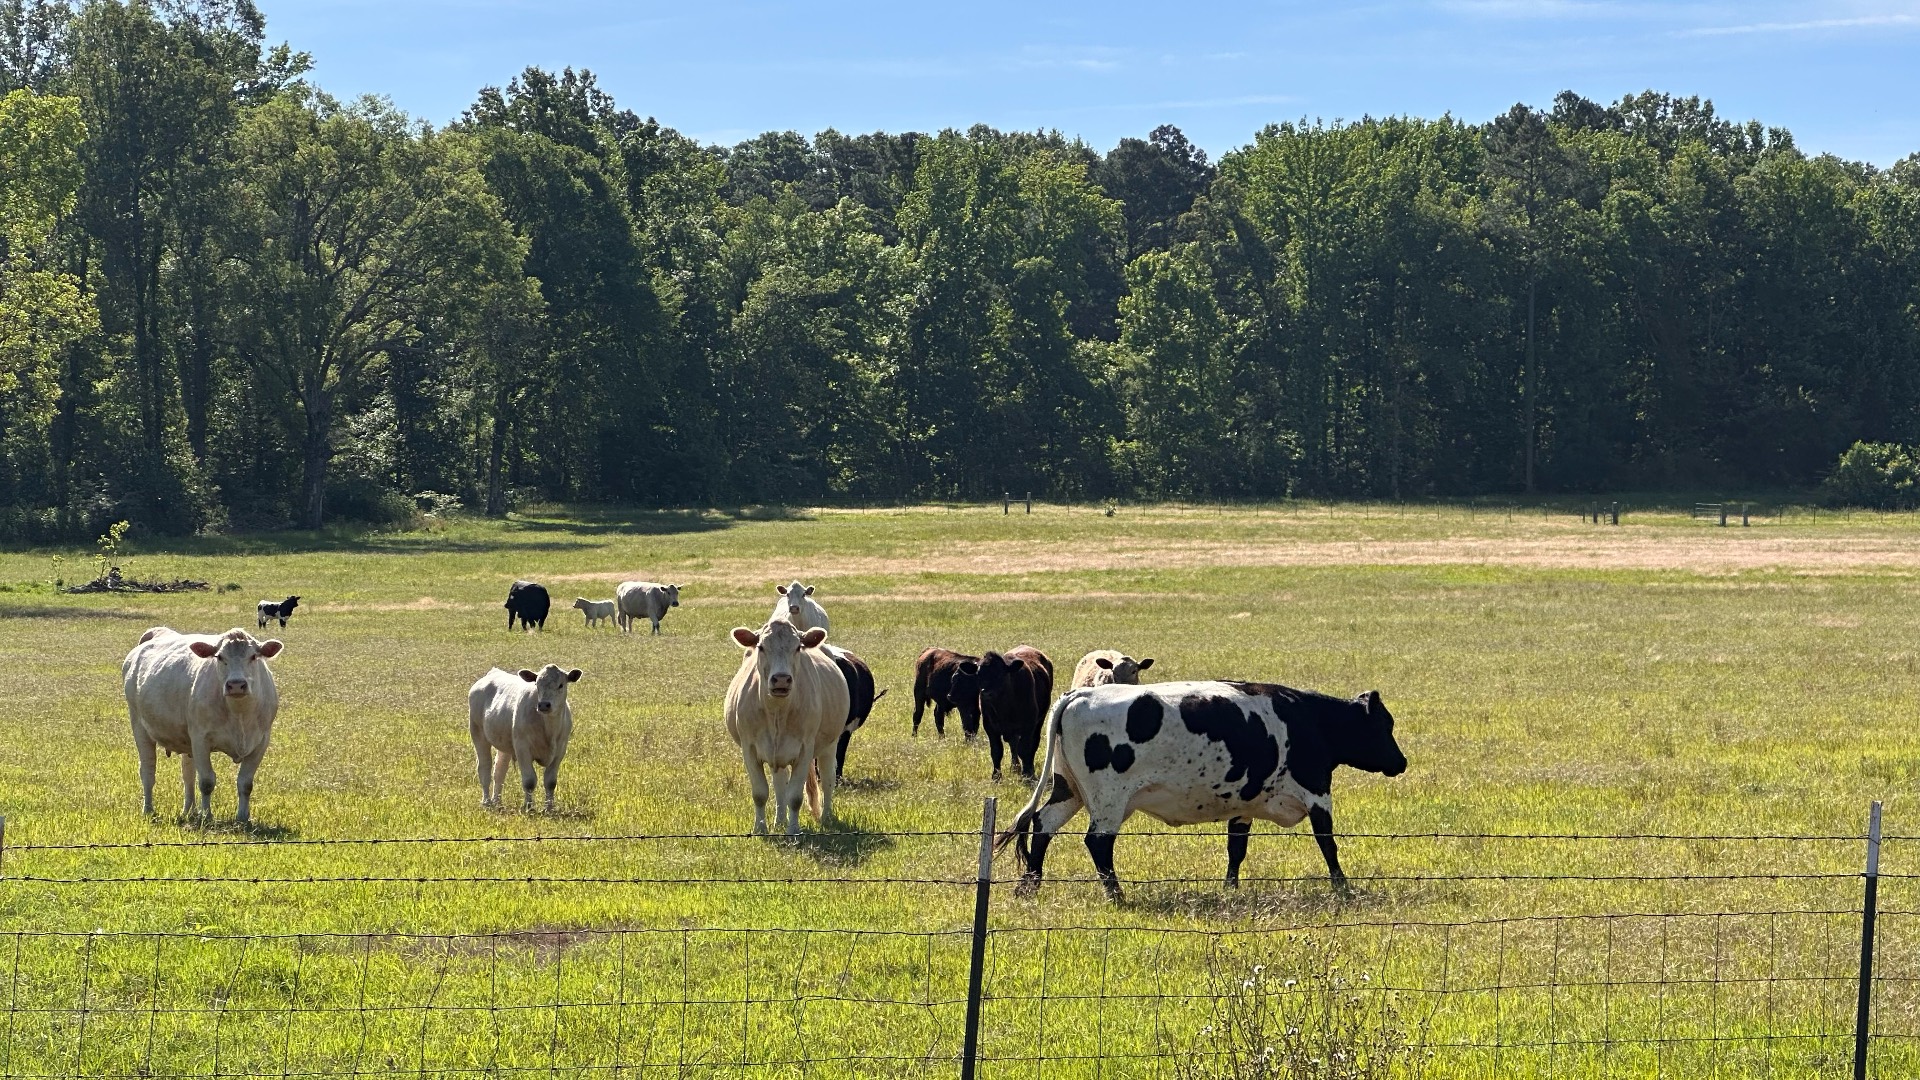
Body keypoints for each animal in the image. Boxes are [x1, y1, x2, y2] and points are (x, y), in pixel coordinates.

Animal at [122, 627, 284, 823]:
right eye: (220, 657)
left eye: (253, 656)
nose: (236, 685)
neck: (239, 713)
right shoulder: (201, 739)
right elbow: (207, 781)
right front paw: (207, 815)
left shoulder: (261, 741)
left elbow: (245, 783)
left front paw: (243, 817)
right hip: (139, 726)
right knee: (148, 770)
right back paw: (148, 809)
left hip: (187, 742)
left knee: (188, 774)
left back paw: (189, 810)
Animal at [468, 665, 580, 811]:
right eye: (537, 684)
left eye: (561, 685)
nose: (544, 705)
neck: (548, 729)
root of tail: (493, 673)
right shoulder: (522, 748)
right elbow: (529, 781)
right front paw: (528, 806)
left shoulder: (560, 750)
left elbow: (550, 781)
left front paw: (549, 808)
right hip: (478, 733)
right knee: (484, 768)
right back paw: (487, 802)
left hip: (504, 744)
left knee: (499, 770)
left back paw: (497, 801)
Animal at [723, 619, 848, 836]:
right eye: (761, 647)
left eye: (798, 647)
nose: (781, 679)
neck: (777, 712)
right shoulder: (749, 748)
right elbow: (760, 792)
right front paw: (760, 828)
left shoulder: (805, 750)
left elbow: (795, 796)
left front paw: (793, 830)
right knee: (780, 783)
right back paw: (779, 820)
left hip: (830, 744)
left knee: (828, 779)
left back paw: (826, 817)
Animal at [950, 646, 1053, 781]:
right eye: (978, 674)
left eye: (1000, 674)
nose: (986, 693)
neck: (1004, 707)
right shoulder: (990, 726)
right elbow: (996, 751)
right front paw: (996, 777)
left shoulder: (1028, 725)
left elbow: (1025, 749)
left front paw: (1027, 774)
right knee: (1014, 745)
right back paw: (1015, 768)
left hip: (1039, 722)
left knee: (1033, 744)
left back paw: (1029, 768)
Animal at [998, 680, 1408, 902]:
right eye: (1384, 725)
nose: (1401, 762)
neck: (1310, 721)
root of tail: (1078, 695)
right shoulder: (1318, 794)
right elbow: (1328, 844)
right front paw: (1342, 887)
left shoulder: (1244, 802)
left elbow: (1236, 849)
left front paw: (1231, 887)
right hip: (1109, 800)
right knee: (1097, 842)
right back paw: (1116, 895)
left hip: (1068, 789)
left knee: (1043, 823)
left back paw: (1030, 885)